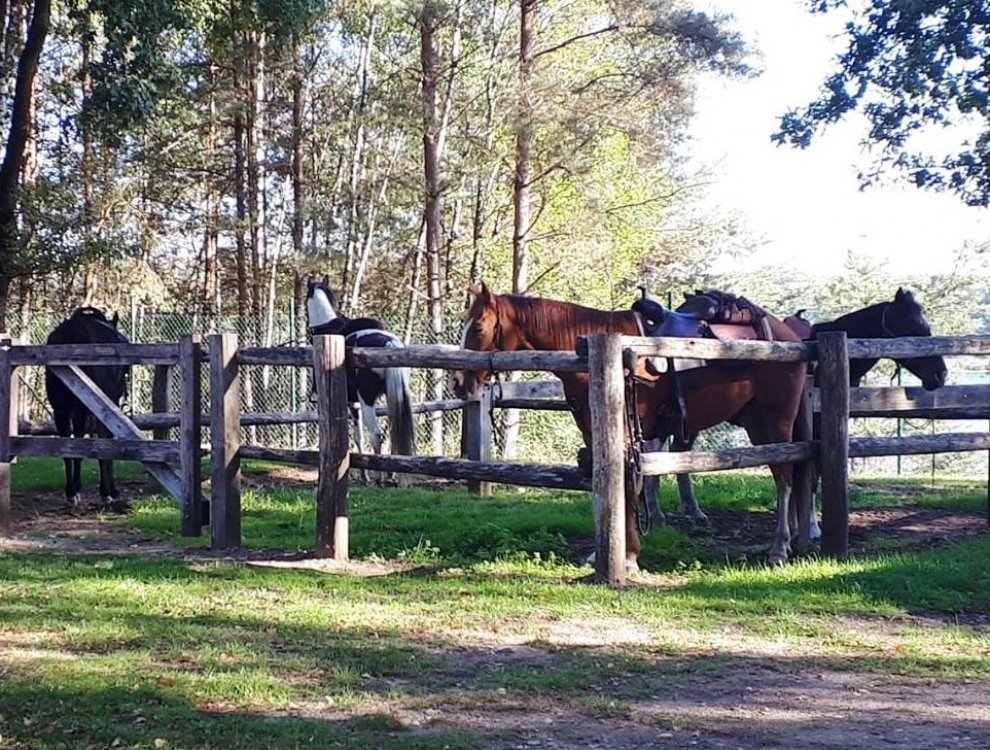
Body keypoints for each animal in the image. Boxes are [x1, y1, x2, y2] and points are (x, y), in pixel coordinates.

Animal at [305, 277, 416, 457]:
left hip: (367, 399)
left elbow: (358, 438)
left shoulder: (353, 404)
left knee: (375, 436)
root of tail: (389, 343)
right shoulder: (355, 403)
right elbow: (359, 437)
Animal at [452, 282, 810, 568]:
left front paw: (628, 555)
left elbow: (626, 483)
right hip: (755, 420)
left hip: (774, 420)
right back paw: (792, 539)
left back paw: (779, 547)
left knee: (785, 476)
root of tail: (789, 337)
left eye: (479, 327)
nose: (459, 383)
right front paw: (605, 552)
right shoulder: (594, 431)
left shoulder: (625, 432)